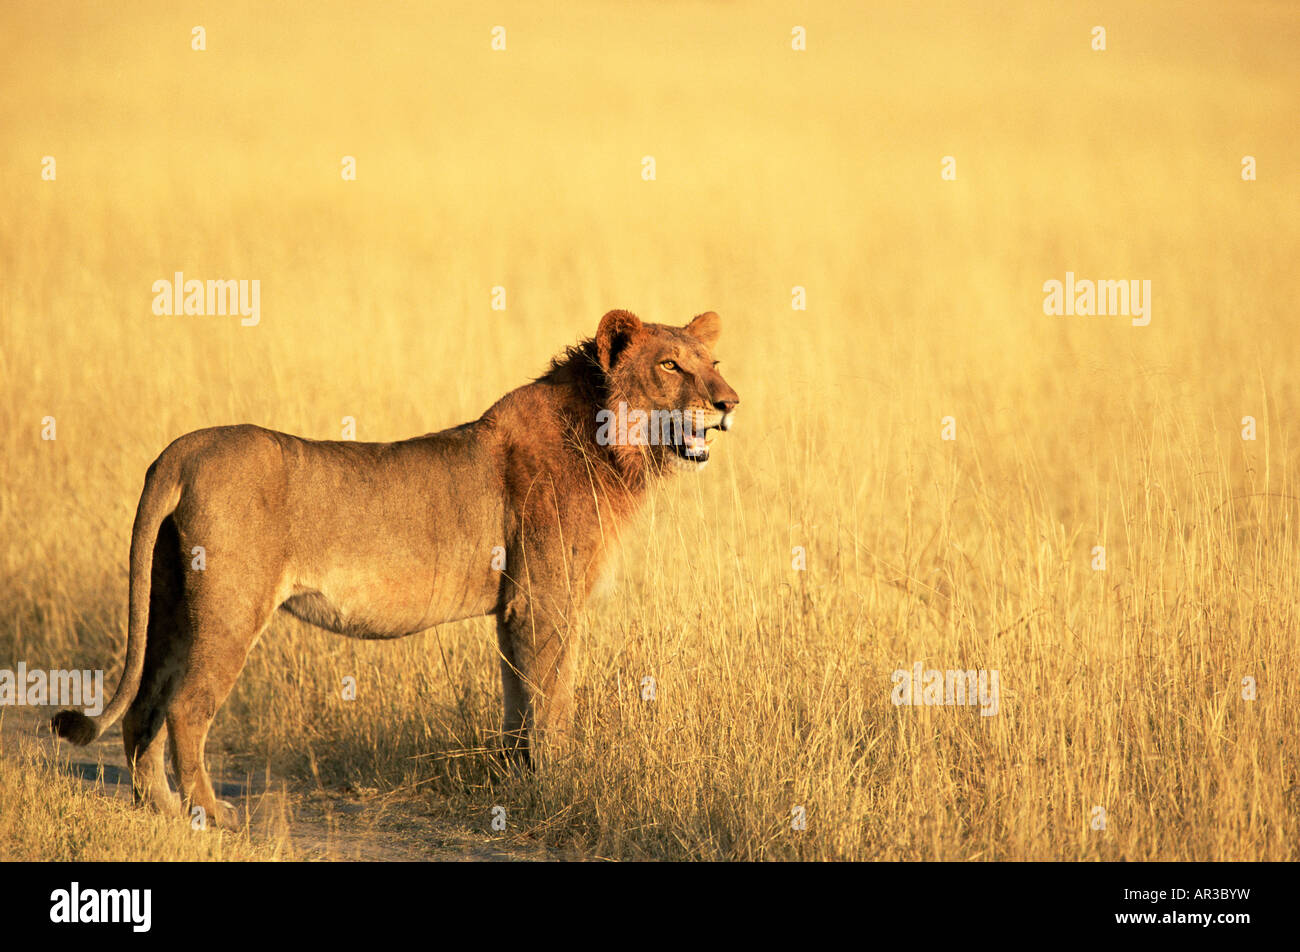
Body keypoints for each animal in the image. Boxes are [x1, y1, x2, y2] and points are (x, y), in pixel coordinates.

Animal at [52, 309, 739, 826]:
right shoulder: (544, 601)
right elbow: (553, 703)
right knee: (185, 706)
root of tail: (182, 447)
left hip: (170, 600)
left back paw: (162, 811)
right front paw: (559, 784)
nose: (729, 403)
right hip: (228, 609)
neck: (613, 446)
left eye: (714, 363)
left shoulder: (514, 610)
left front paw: (515, 785)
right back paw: (210, 814)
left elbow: (518, 704)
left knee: (143, 705)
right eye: (671, 365)